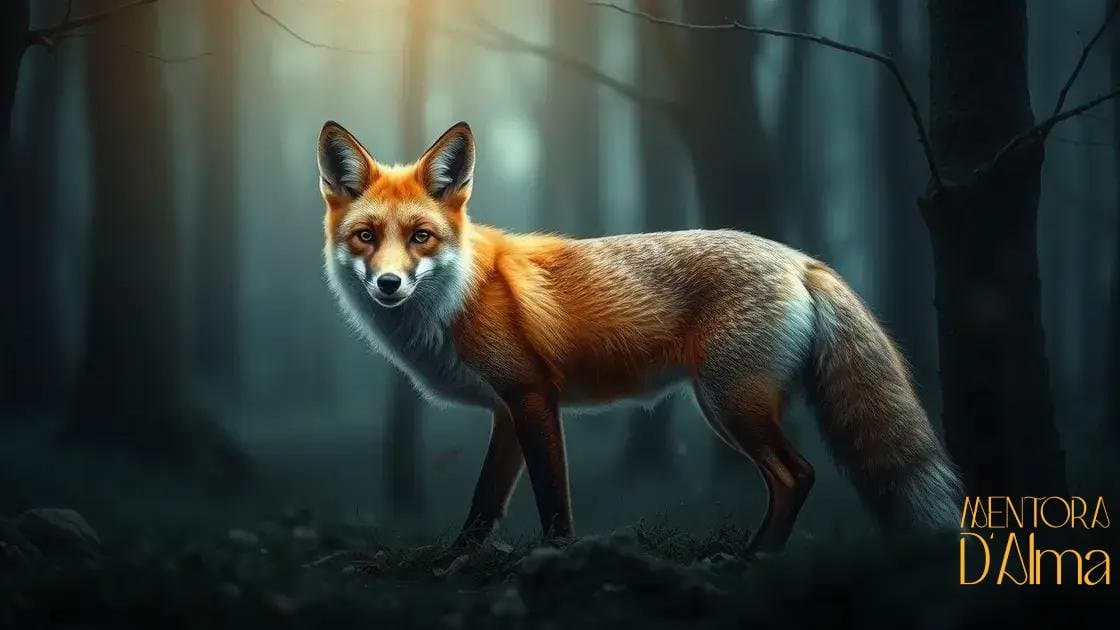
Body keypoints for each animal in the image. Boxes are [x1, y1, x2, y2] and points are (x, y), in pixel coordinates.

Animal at [316, 120, 963, 553]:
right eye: (367, 237)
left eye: (421, 237)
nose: (389, 284)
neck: (458, 298)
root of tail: (798, 258)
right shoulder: (506, 411)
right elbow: (484, 503)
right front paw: (456, 563)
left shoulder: (533, 396)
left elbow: (553, 500)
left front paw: (558, 558)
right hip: (726, 404)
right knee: (791, 478)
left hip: (731, 402)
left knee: (796, 474)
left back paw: (754, 559)